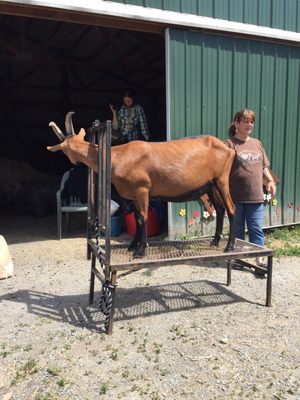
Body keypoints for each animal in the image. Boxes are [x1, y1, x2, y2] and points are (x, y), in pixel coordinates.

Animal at [47, 111, 237, 258]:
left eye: (64, 150)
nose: (73, 162)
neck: (119, 157)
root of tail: (227, 147)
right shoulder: (132, 194)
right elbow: (136, 218)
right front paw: (133, 245)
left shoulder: (142, 189)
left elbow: (143, 218)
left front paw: (140, 250)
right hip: (210, 185)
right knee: (220, 209)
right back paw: (215, 241)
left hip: (221, 180)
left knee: (231, 208)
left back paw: (229, 246)